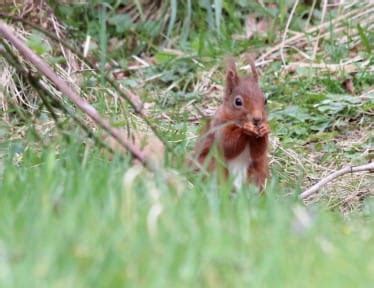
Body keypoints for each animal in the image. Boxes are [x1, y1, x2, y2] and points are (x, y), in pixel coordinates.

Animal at [194, 57, 270, 190]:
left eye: (265, 100)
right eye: (238, 102)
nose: (257, 119)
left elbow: (258, 152)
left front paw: (265, 129)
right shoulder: (218, 127)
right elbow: (226, 145)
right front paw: (245, 128)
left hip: (256, 171)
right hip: (213, 165)